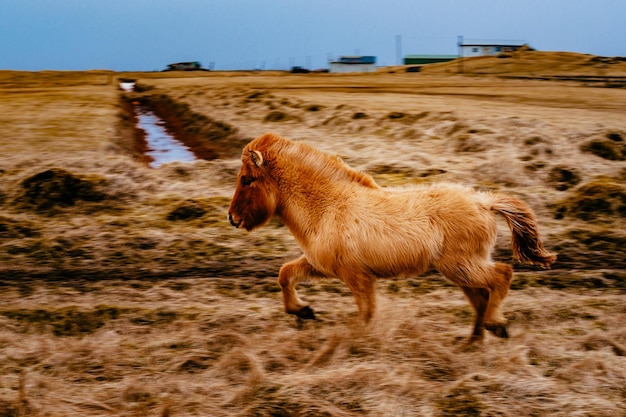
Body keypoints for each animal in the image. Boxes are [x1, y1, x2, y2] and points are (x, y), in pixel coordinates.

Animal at [225, 133, 556, 342]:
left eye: (247, 180)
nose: (232, 218)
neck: (328, 206)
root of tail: (483, 202)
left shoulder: (358, 277)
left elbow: (367, 314)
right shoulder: (321, 266)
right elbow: (285, 274)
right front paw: (303, 311)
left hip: (463, 267)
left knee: (502, 276)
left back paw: (496, 325)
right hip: (460, 272)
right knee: (481, 299)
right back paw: (471, 344)